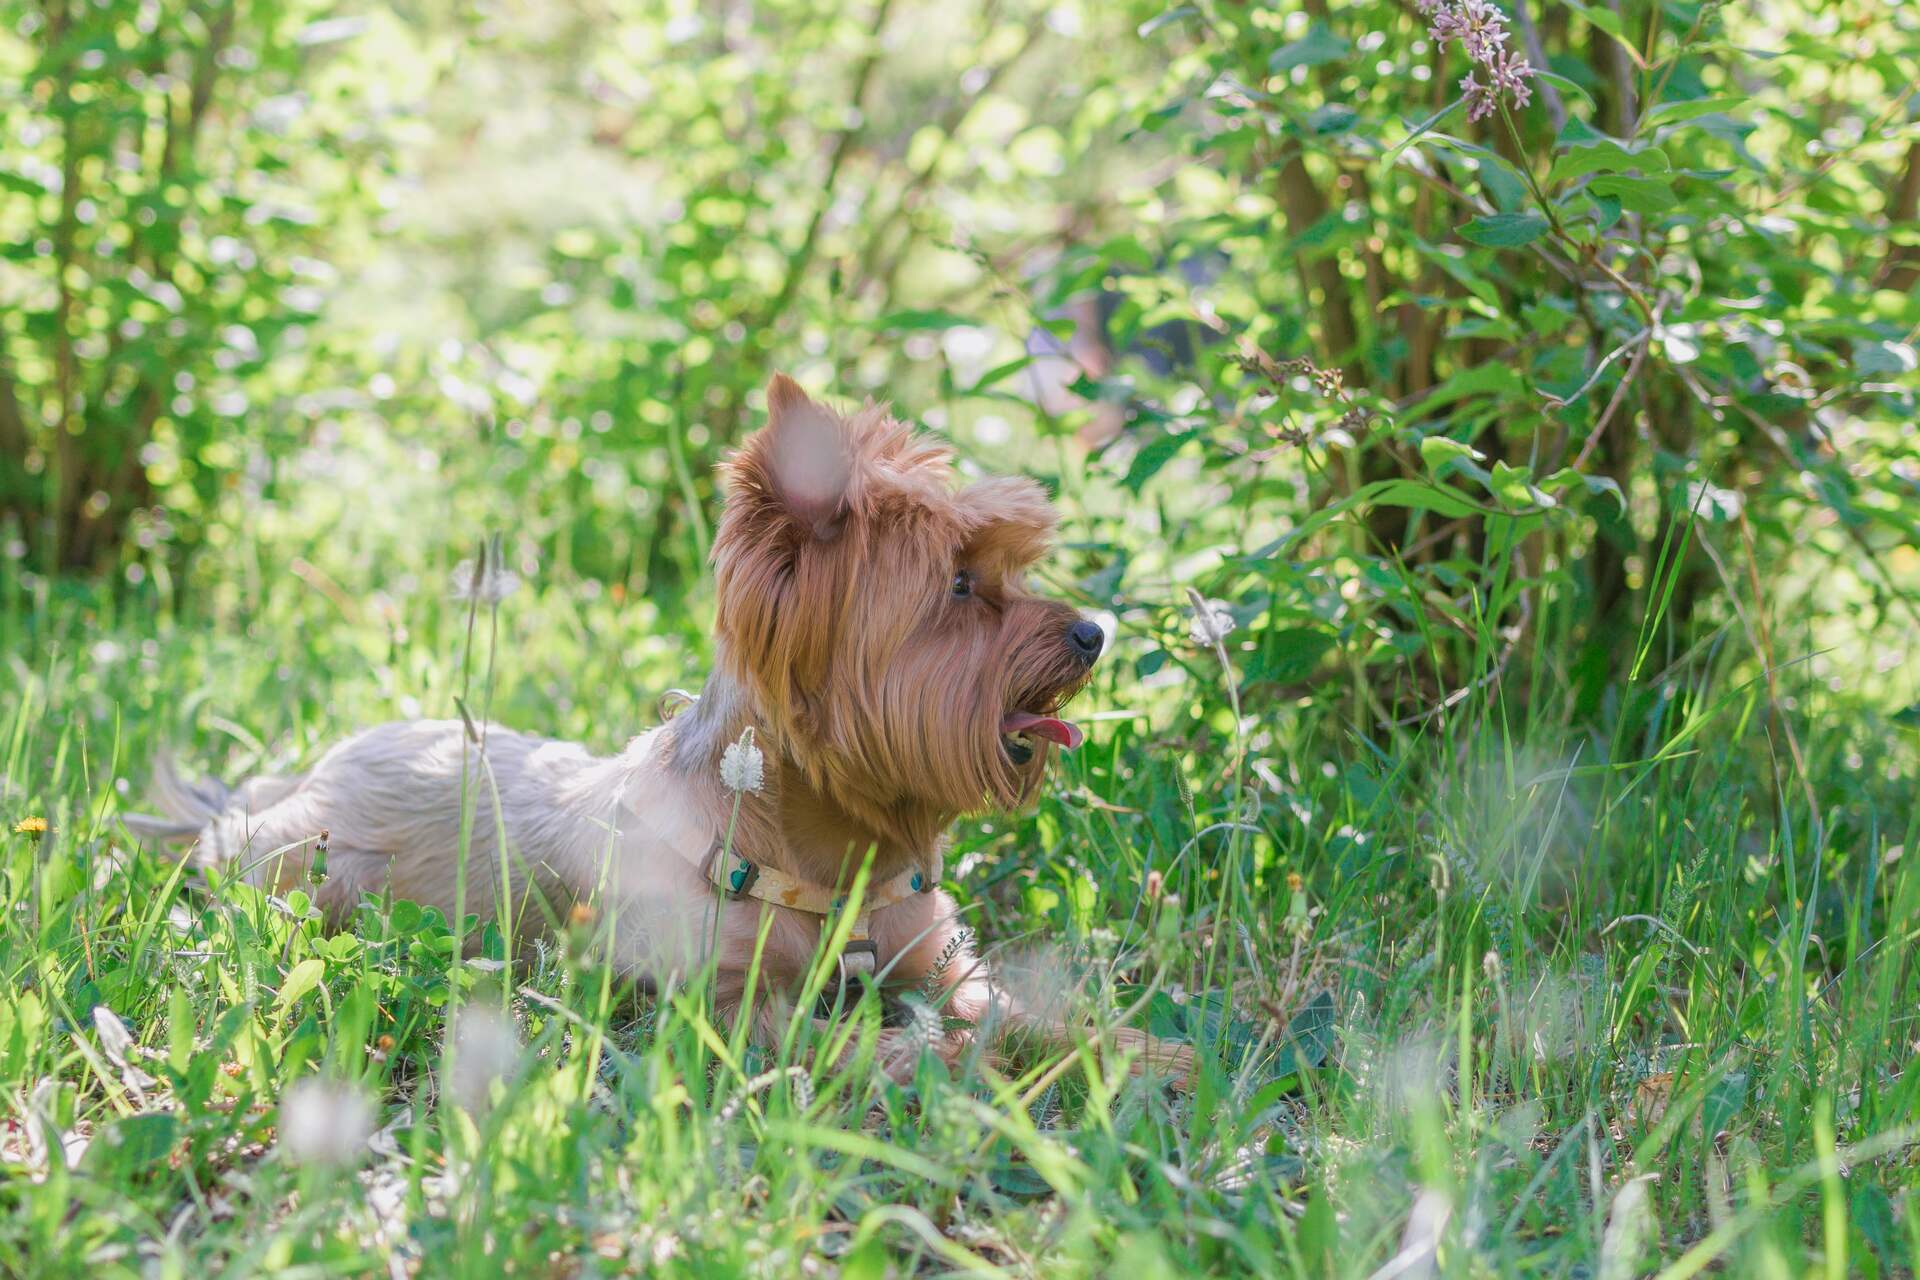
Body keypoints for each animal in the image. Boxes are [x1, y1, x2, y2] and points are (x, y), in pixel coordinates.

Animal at [131, 378, 1182, 1082]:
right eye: (960, 587)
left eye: (1011, 572)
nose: (1094, 632)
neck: (833, 850)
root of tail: (288, 781)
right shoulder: (733, 1014)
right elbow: (874, 1044)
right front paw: (965, 1067)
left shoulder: (940, 963)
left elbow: (1025, 1013)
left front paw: (1145, 1053)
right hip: (312, 871)